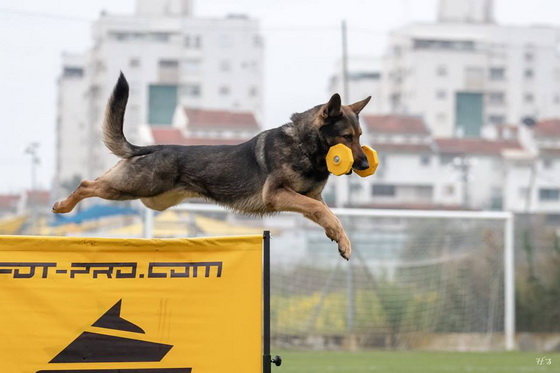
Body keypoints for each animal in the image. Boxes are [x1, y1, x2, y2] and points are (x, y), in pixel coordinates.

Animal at [51, 72, 372, 258]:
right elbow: (322, 211)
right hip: (133, 185)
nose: (366, 163)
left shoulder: (308, 197)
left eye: (359, 136)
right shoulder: (279, 194)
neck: (306, 146)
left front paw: (341, 240)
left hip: (148, 196)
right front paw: (339, 237)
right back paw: (62, 206)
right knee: (87, 184)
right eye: (346, 137)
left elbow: (329, 214)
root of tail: (155, 146)